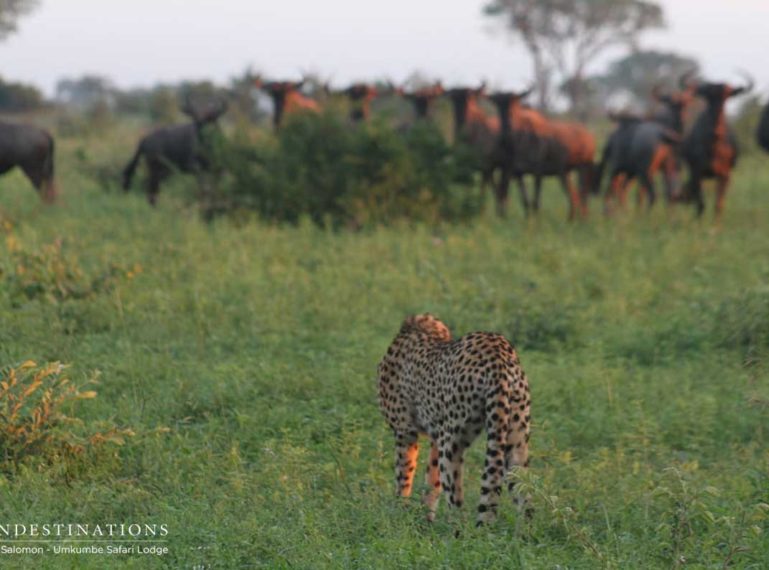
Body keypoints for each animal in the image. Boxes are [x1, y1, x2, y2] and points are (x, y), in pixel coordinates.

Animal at [376, 312, 532, 520]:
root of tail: (499, 351)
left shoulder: (405, 432)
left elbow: (404, 477)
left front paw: (400, 513)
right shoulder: (435, 436)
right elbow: (432, 481)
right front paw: (425, 518)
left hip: (452, 443)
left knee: (457, 504)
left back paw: (455, 528)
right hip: (516, 439)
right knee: (525, 495)